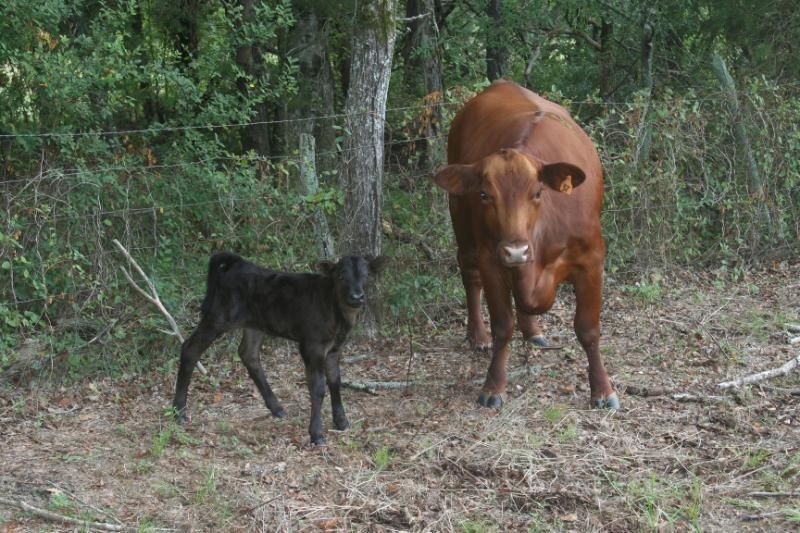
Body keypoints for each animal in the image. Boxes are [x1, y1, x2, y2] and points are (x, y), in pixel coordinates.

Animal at [172, 252, 387, 445]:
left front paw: (341, 421)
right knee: (190, 348)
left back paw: (276, 408)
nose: (357, 297)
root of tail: (238, 263)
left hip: (255, 324)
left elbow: (335, 380)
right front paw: (316, 434)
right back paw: (178, 412)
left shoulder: (335, 348)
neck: (338, 314)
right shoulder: (312, 345)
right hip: (218, 317)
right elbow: (318, 387)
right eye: (341, 276)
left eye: (366, 275)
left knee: (248, 354)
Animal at [432, 79, 618, 410]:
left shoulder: (591, 259)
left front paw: (602, 389)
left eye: (538, 192)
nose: (515, 250)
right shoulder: (491, 259)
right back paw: (478, 335)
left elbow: (588, 328)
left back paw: (532, 331)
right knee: (469, 274)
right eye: (484, 194)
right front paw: (493, 385)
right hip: (461, 224)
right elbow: (502, 326)